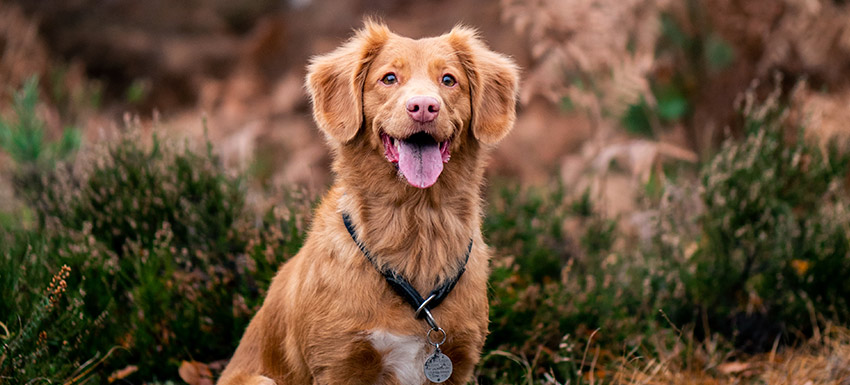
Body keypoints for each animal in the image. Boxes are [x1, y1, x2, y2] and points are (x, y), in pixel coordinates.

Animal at [219, 21, 516, 384]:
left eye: (448, 80)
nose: (423, 107)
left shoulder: (459, 361)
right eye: (389, 78)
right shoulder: (338, 364)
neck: (415, 220)